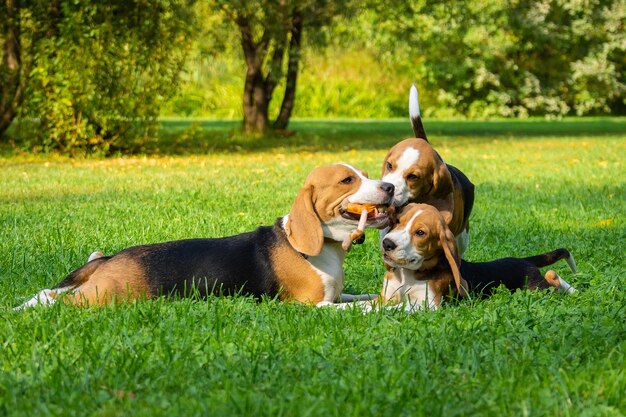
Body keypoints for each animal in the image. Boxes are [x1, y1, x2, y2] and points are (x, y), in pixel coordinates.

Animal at [14, 162, 390, 308]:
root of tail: (113, 256)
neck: (326, 247)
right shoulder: (312, 305)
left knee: (49, 293)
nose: (388, 187)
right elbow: (355, 307)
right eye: (347, 180)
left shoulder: (336, 295)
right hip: (105, 297)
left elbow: (363, 296)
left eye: (364, 174)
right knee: (57, 301)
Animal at [376, 203, 576, 310]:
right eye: (398, 222)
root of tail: (523, 260)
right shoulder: (385, 296)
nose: (387, 243)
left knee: (554, 282)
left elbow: (393, 308)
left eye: (420, 233)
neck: (408, 275)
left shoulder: (429, 305)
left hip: (538, 290)